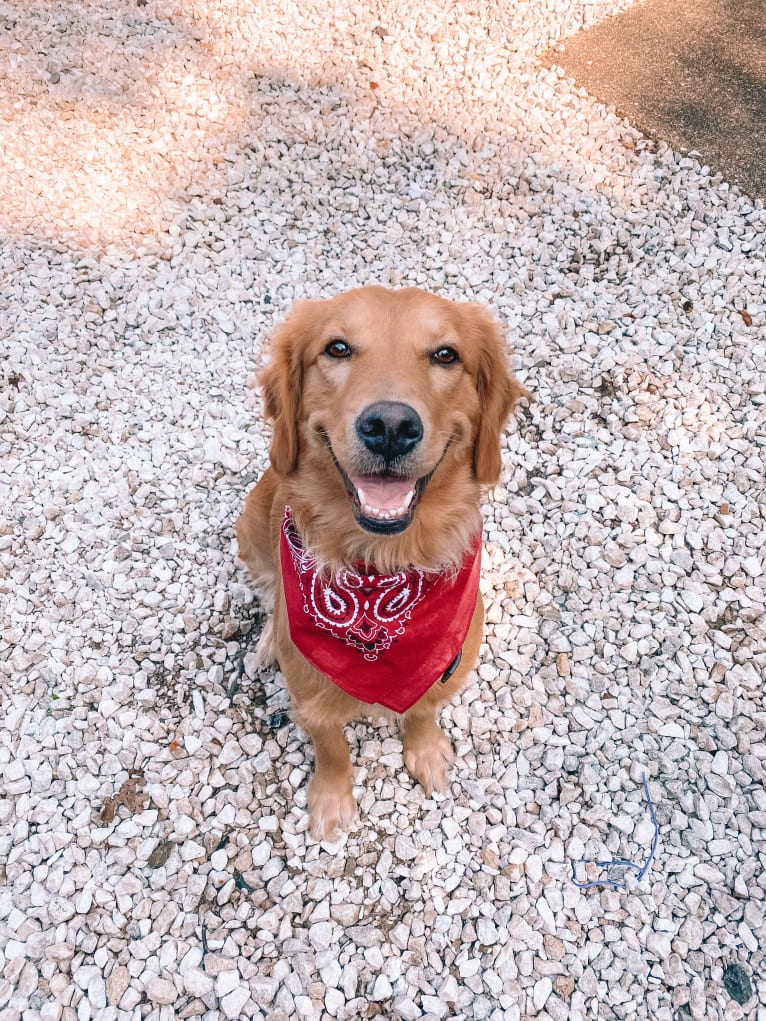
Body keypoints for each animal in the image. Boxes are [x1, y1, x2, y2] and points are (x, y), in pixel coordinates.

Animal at [238, 285, 527, 837]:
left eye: (445, 355)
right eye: (337, 348)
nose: (390, 426)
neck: (380, 570)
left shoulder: (444, 661)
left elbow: (422, 708)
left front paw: (426, 750)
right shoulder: (309, 693)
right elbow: (330, 747)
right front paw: (331, 801)